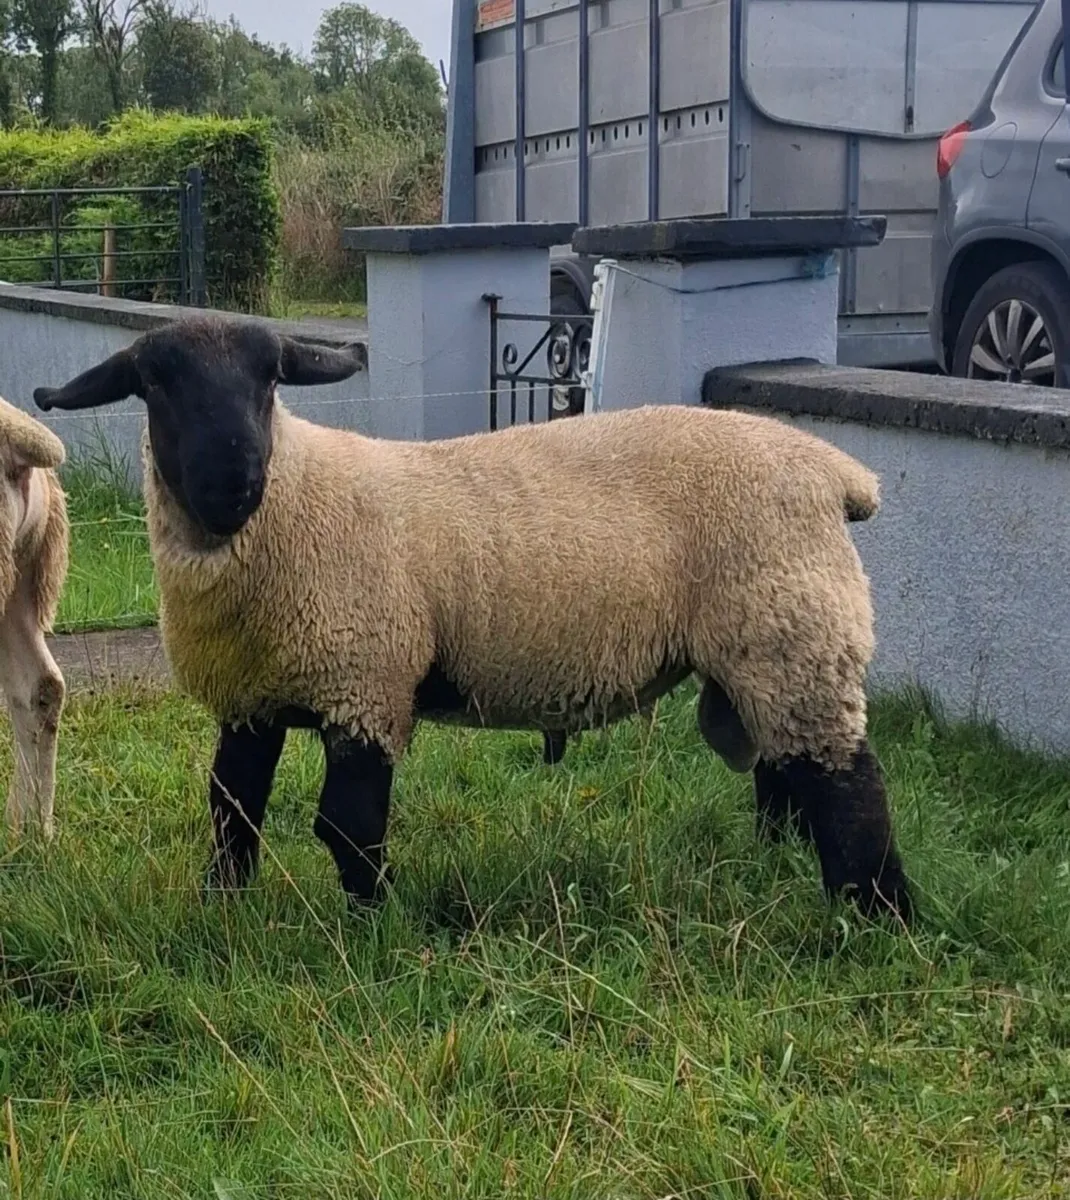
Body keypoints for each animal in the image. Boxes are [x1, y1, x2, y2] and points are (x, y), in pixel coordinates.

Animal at [33, 315, 912, 923]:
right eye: (154, 384)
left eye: (271, 380)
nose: (234, 483)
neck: (294, 503)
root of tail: (839, 473)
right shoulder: (253, 697)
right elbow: (231, 809)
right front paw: (223, 911)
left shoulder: (366, 680)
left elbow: (346, 825)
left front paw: (377, 922)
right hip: (770, 646)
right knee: (787, 771)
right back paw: (784, 868)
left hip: (794, 627)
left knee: (848, 785)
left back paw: (875, 920)